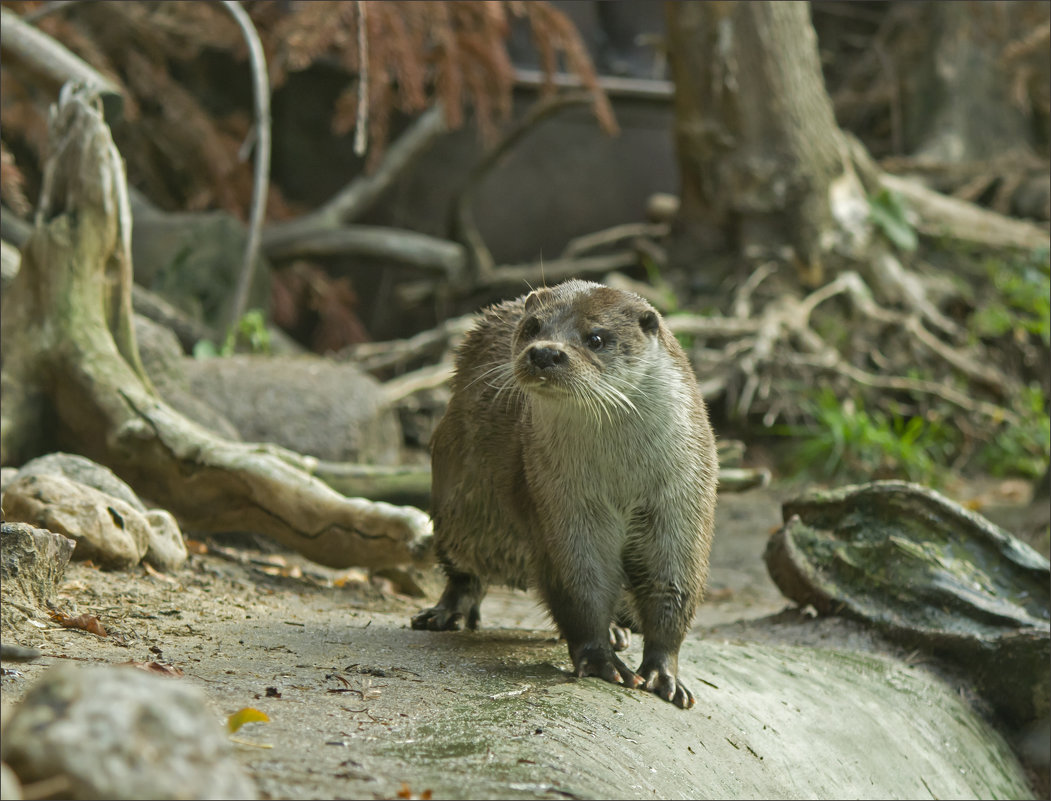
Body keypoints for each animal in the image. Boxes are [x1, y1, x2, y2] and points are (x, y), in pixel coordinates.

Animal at [414, 279, 718, 706]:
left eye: (596, 338)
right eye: (532, 327)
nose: (544, 352)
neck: (621, 479)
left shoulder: (681, 501)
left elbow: (673, 585)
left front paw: (664, 672)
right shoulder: (562, 505)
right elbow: (579, 585)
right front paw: (601, 661)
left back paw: (619, 630)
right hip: (458, 501)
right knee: (463, 570)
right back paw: (445, 614)